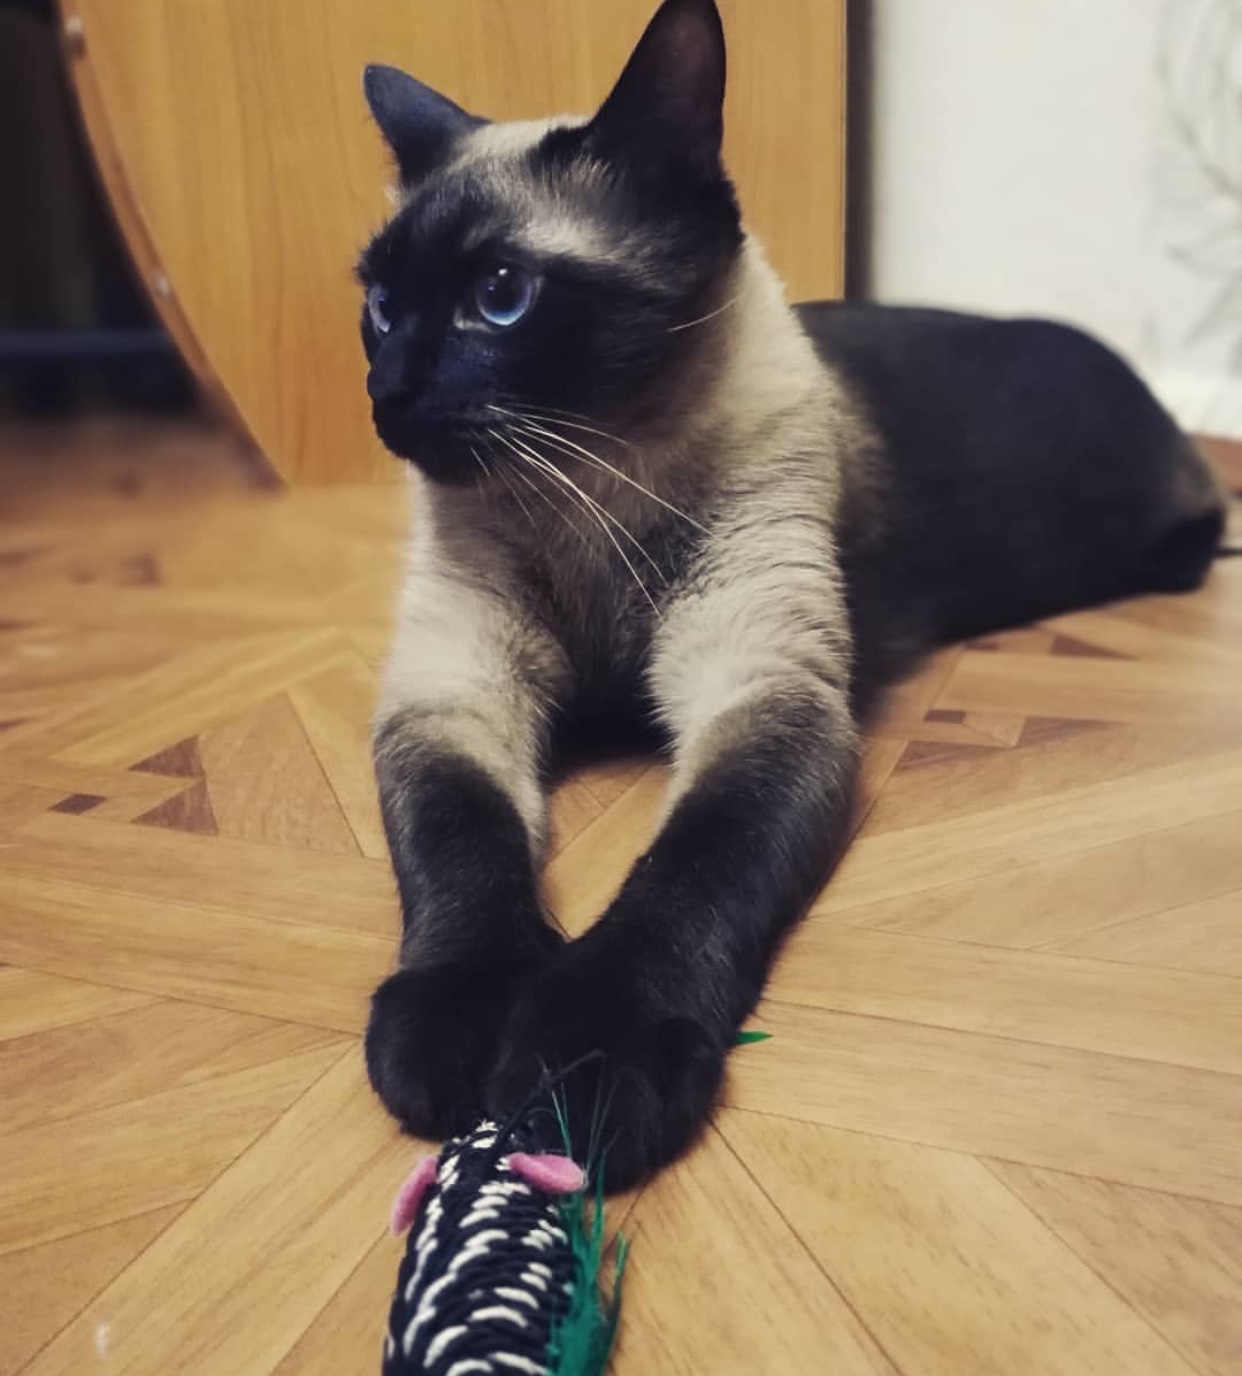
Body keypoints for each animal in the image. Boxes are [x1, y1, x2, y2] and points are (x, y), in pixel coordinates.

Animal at [354, 0, 1226, 1188]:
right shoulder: (452, 698)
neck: (589, 502)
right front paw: (457, 1022)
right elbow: (463, 845)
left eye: (501, 296)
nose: (387, 395)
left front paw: (587, 1057)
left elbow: (690, 868)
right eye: (379, 304)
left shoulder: (765, 694)